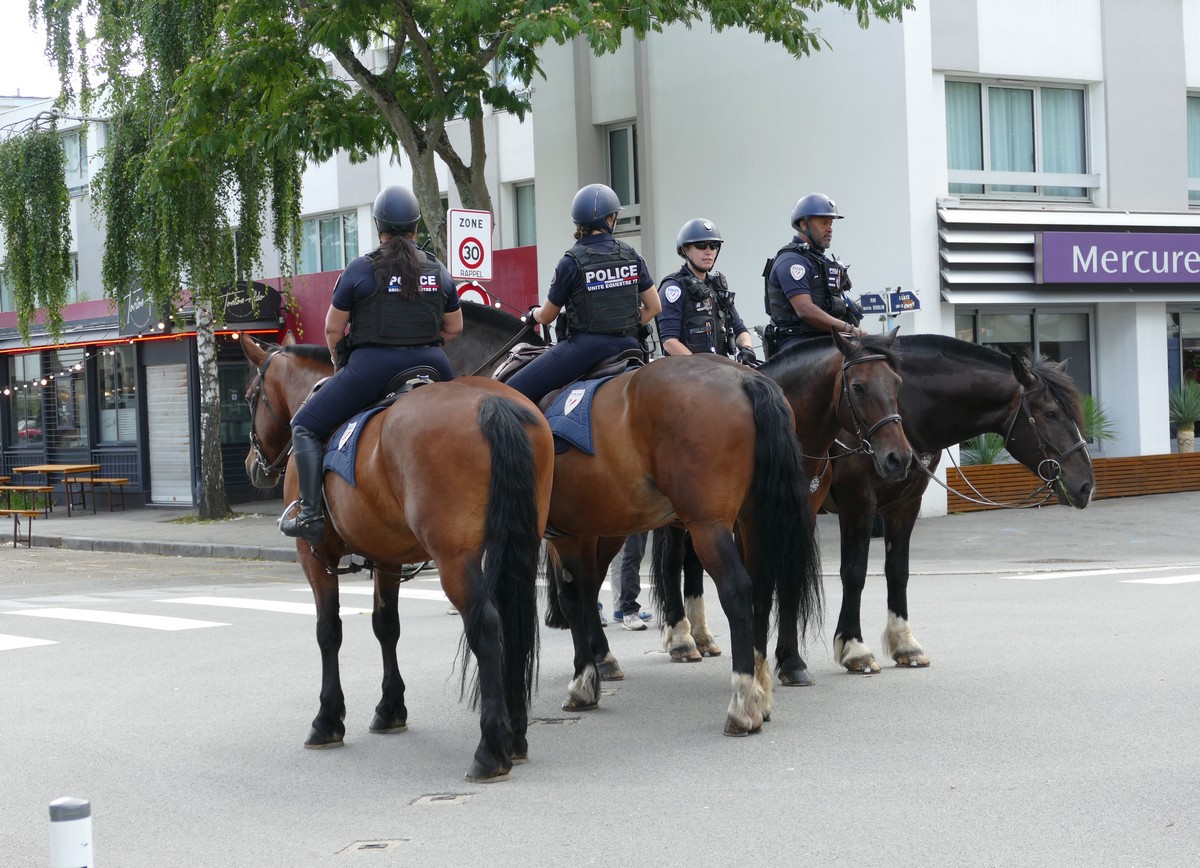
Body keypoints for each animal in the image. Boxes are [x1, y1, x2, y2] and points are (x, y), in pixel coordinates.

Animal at [240, 331, 556, 782]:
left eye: (251, 396)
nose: (253, 465)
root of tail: (492, 403)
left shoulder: (314, 556)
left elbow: (328, 631)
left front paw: (327, 719)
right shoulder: (386, 556)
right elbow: (386, 626)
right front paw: (390, 707)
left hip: (455, 559)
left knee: (486, 626)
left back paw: (490, 749)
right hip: (520, 545)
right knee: (513, 620)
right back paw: (515, 736)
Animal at [448, 303, 825, 734]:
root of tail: (745, 379)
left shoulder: (562, 534)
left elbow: (573, 597)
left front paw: (584, 681)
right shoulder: (592, 529)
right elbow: (588, 589)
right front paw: (601, 661)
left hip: (708, 526)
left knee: (737, 589)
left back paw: (743, 701)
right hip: (751, 519)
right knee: (762, 586)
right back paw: (761, 690)